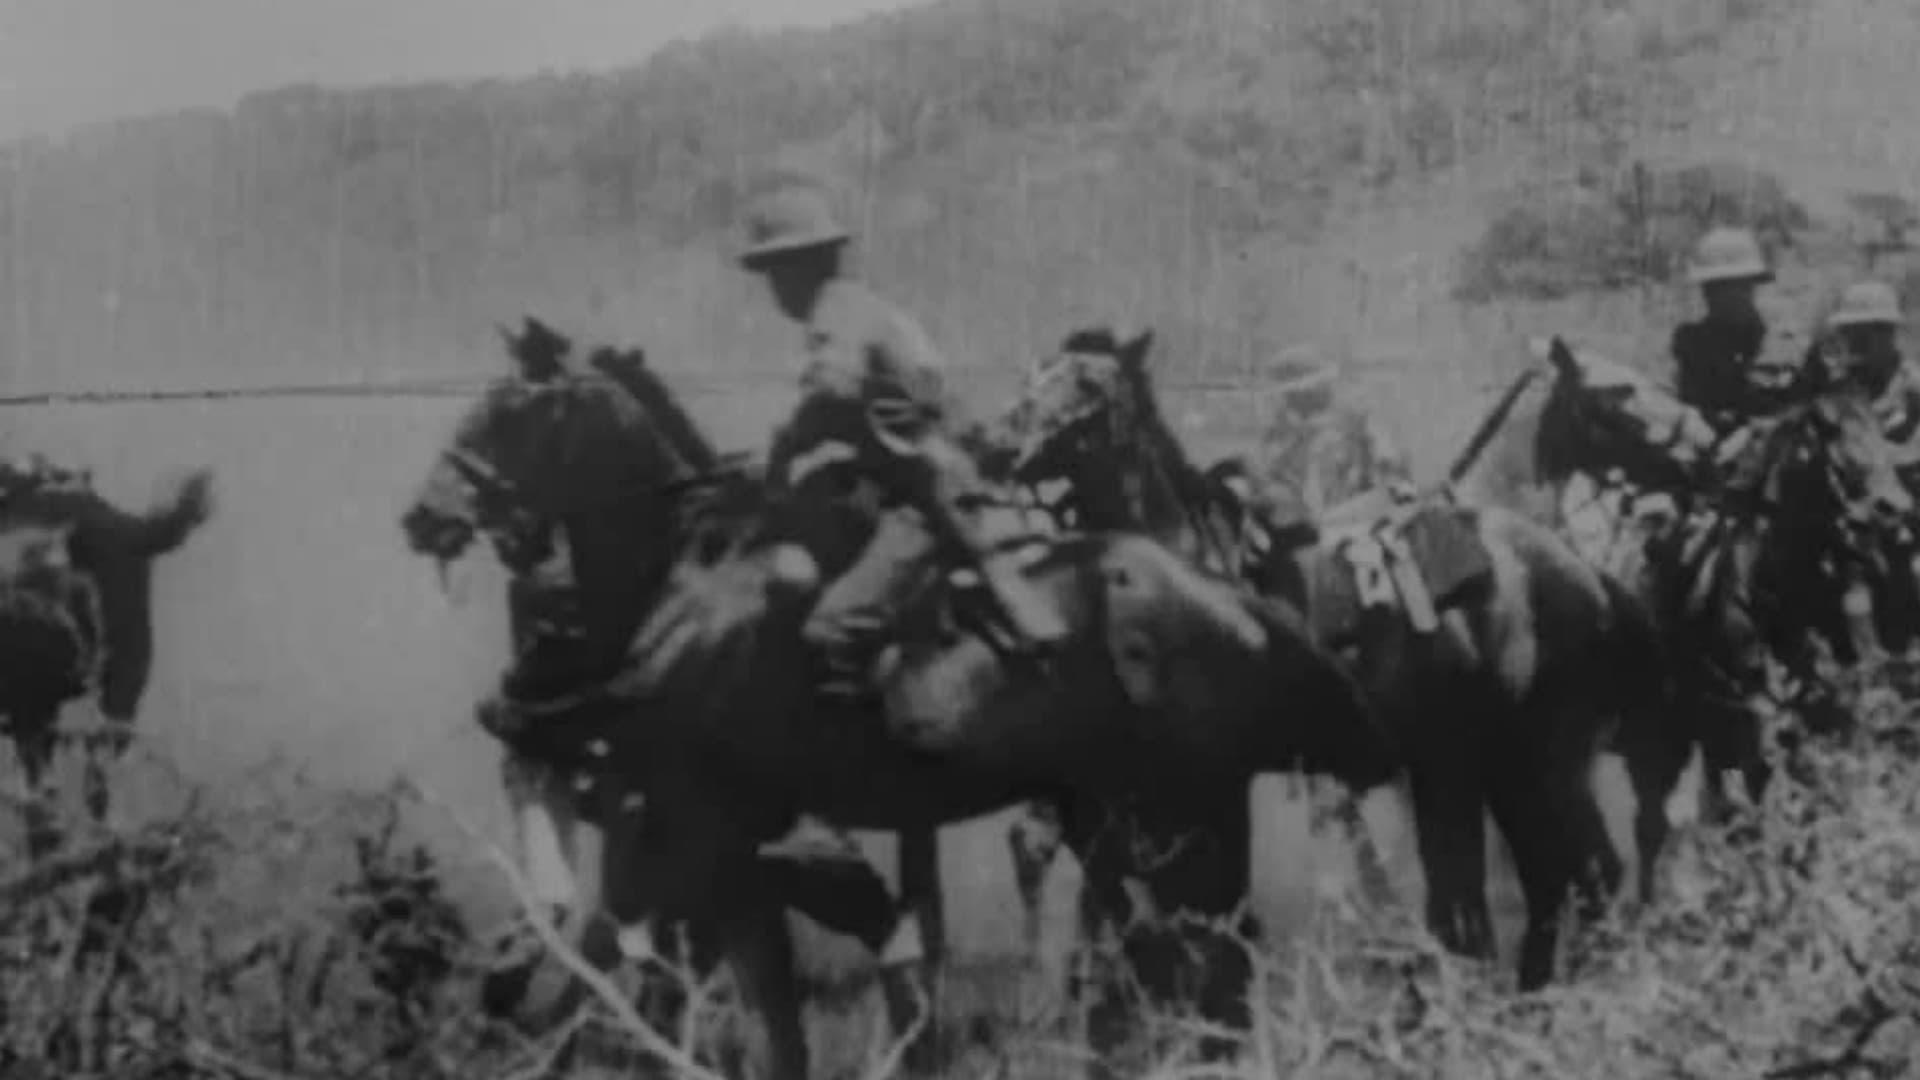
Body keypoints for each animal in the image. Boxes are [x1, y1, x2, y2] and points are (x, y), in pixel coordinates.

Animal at [1006, 322, 1681, 991]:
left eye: (1089, 383)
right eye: (1040, 371)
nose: (1004, 440)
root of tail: (1583, 572)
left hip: (1543, 757)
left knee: (1583, 873)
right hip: (1503, 762)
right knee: (1556, 880)